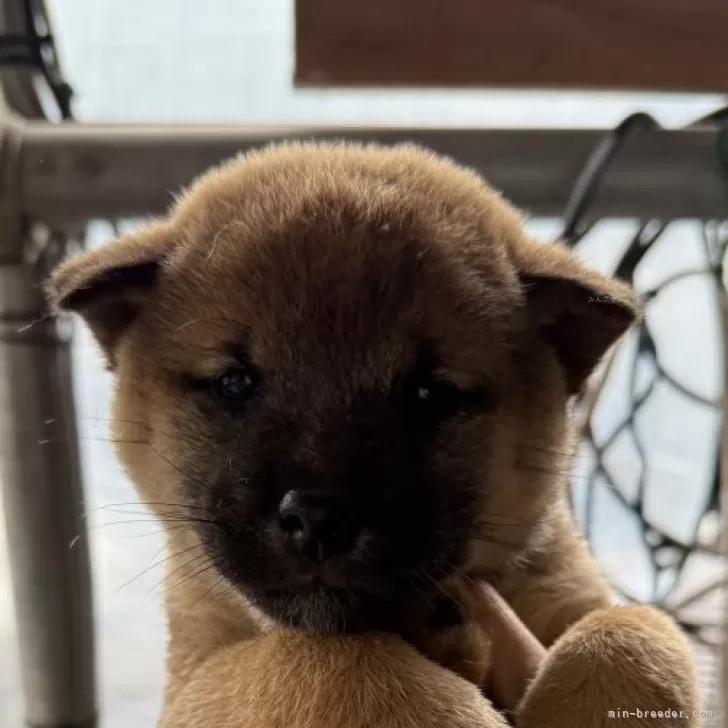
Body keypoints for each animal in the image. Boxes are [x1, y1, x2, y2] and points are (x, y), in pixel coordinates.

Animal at [47, 139, 700, 724]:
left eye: (431, 394)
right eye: (234, 382)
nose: (319, 518)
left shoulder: (571, 591)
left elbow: (636, 627)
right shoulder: (196, 673)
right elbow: (328, 658)